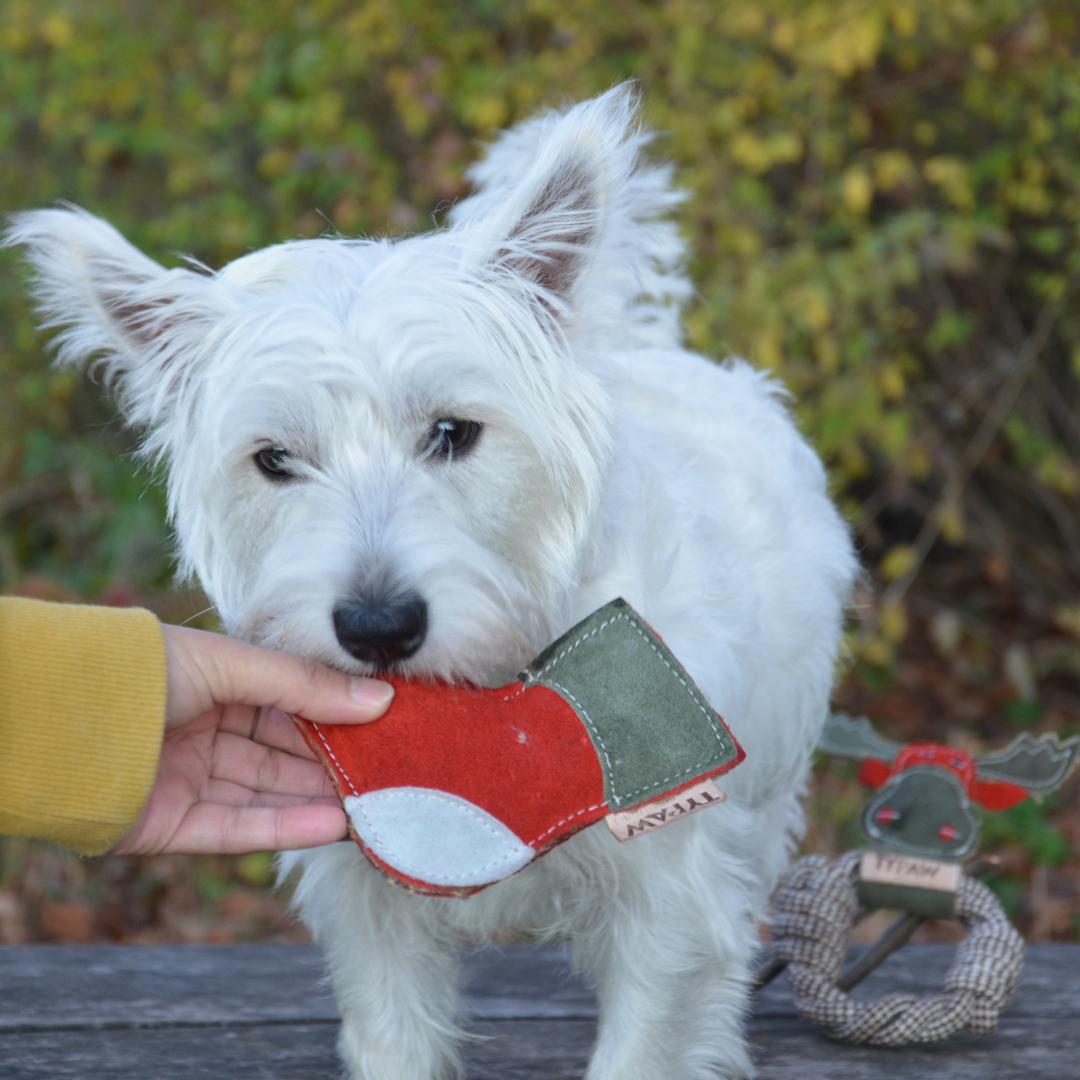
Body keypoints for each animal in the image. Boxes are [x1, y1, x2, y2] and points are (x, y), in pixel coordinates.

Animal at [6, 88, 851, 1080]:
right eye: (275, 459)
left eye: (454, 433)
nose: (377, 626)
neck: (488, 700)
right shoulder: (364, 895)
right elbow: (392, 1030)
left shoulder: (669, 894)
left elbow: (648, 1034)